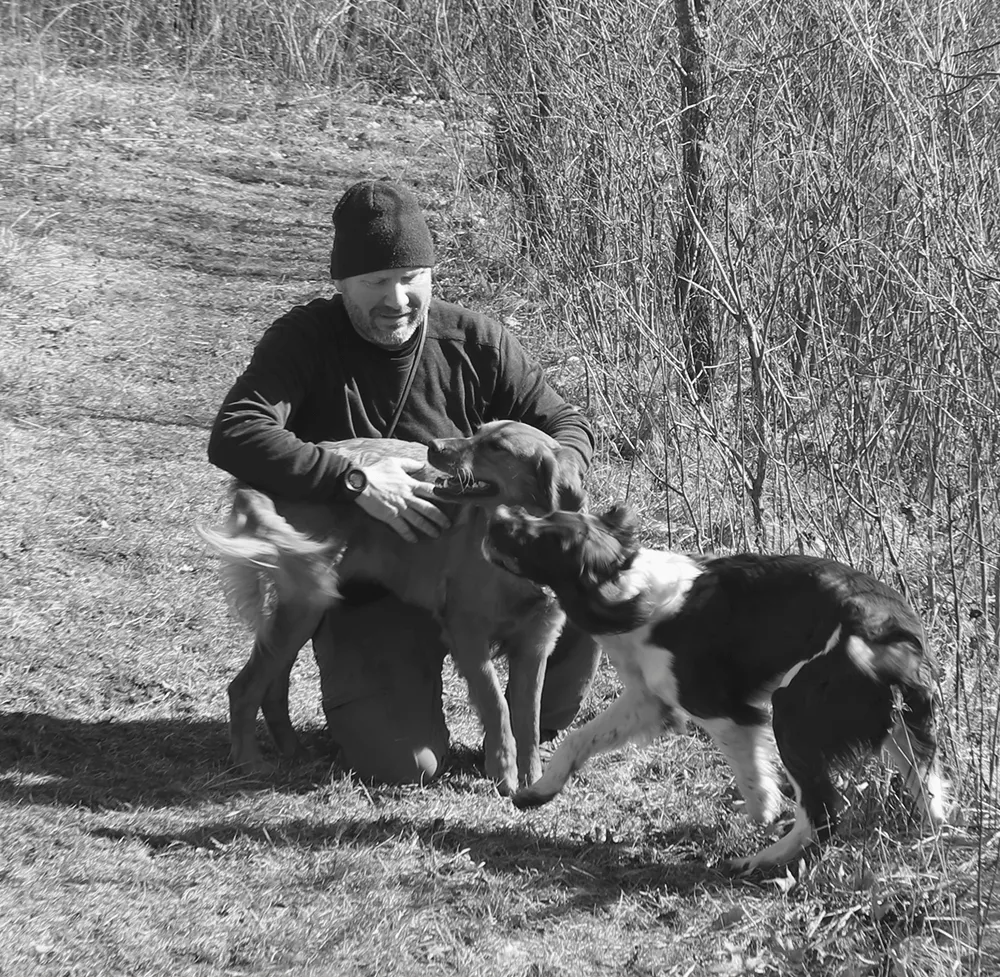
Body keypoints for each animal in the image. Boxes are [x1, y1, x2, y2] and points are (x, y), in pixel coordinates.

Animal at [197, 420, 584, 792]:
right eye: (477, 431)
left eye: (496, 446)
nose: (434, 446)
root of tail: (256, 480)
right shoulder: (467, 634)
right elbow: (497, 706)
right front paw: (503, 775)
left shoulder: (535, 645)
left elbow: (529, 720)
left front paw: (533, 778)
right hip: (304, 604)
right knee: (244, 688)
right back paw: (249, 763)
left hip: (301, 612)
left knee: (272, 687)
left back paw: (293, 752)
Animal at [488, 504, 948, 868]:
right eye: (544, 514)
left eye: (541, 538)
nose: (498, 514)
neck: (627, 590)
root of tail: (891, 639)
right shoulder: (650, 700)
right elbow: (577, 738)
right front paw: (539, 792)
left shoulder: (722, 711)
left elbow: (754, 780)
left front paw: (762, 813)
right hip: (905, 733)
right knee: (931, 804)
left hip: (792, 710)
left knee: (823, 813)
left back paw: (758, 860)